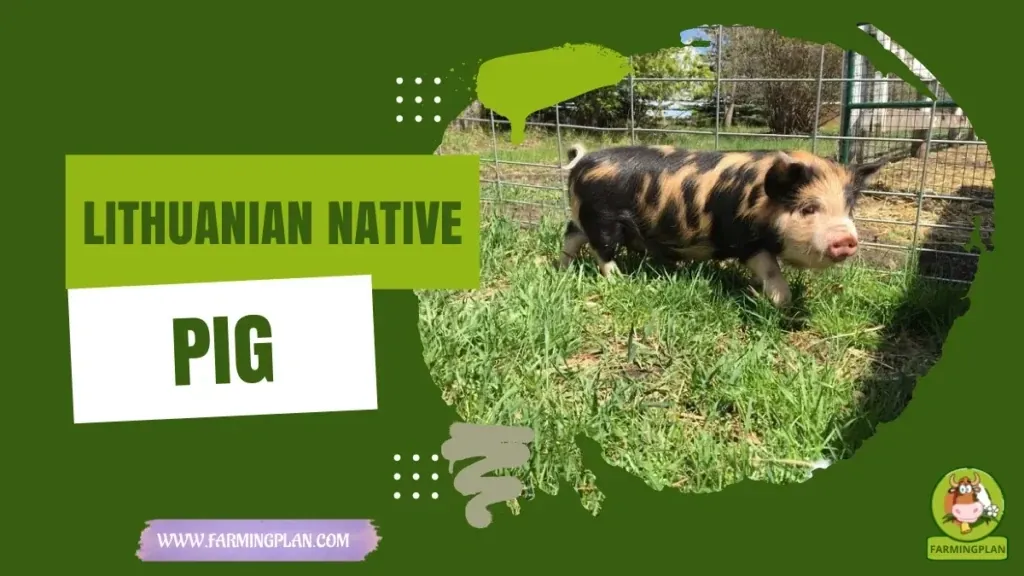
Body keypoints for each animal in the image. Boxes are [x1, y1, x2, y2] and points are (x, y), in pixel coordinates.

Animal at [557, 143, 886, 307]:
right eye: (809, 208)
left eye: (849, 209)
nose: (847, 239)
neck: (758, 201)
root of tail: (583, 161)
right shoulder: (745, 239)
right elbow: (770, 268)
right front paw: (781, 302)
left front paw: (756, 289)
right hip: (603, 219)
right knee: (602, 251)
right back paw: (619, 279)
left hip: (583, 217)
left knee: (571, 236)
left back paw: (564, 268)